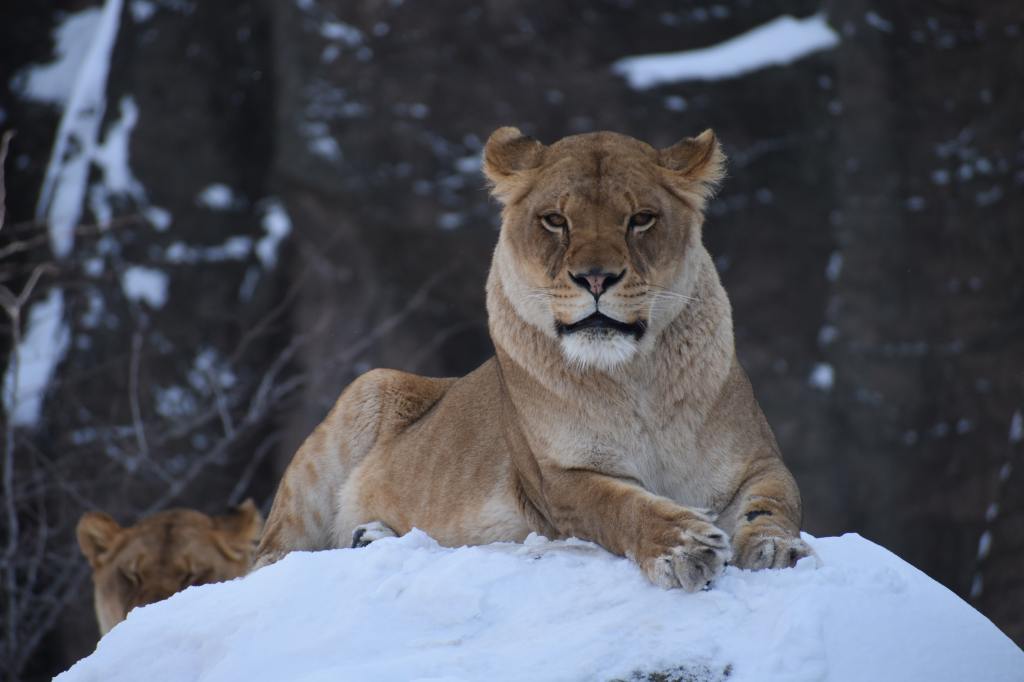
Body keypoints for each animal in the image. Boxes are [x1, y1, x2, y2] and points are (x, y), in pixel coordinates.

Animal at [253, 127, 813, 590]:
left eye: (640, 219)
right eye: (555, 221)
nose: (595, 278)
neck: (634, 378)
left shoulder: (758, 460)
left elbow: (775, 502)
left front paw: (776, 549)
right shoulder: (555, 482)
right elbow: (621, 506)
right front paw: (685, 548)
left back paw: (371, 537)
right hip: (364, 394)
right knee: (269, 556)